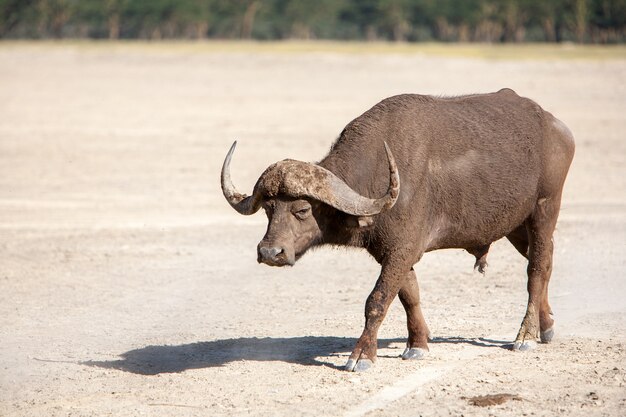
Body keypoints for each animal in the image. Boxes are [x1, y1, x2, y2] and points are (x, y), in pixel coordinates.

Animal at [219, 88, 572, 370]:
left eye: (302, 210)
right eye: (268, 208)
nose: (270, 252)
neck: (377, 178)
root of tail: (557, 128)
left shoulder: (402, 250)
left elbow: (377, 300)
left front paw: (362, 355)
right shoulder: (392, 252)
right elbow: (408, 295)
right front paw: (417, 345)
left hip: (544, 208)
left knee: (537, 268)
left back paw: (525, 335)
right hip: (515, 225)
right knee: (548, 260)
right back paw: (547, 326)